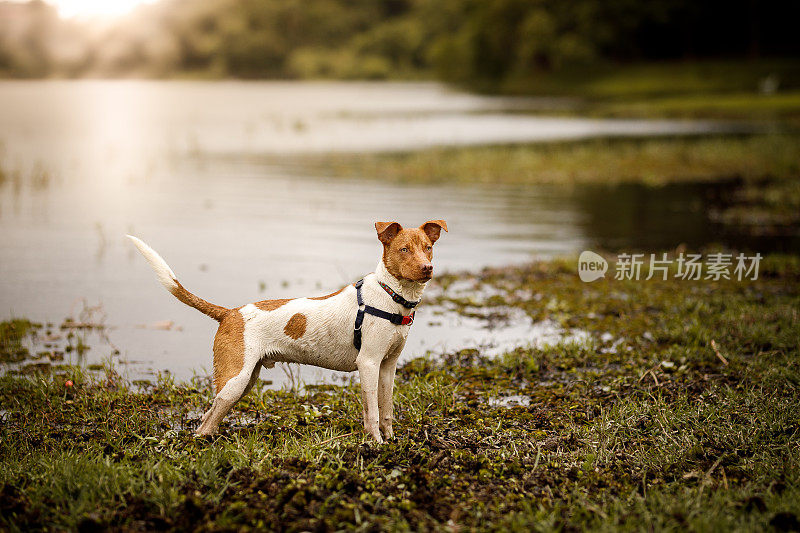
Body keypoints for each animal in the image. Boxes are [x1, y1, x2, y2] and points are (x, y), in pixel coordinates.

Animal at [128, 218, 446, 442]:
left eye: (428, 248)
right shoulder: (368, 363)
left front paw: (391, 441)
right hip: (236, 379)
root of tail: (229, 313)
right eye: (403, 249)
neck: (390, 295)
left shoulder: (388, 365)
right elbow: (373, 414)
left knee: (210, 417)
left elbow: (387, 409)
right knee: (205, 424)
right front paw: (375, 445)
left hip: (243, 381)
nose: (427, 268)